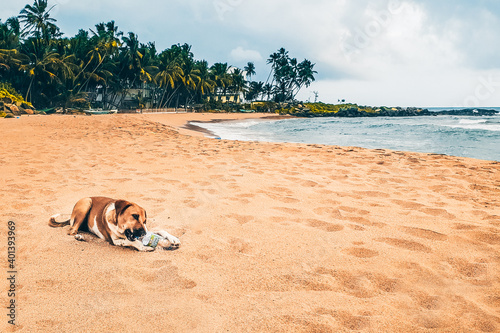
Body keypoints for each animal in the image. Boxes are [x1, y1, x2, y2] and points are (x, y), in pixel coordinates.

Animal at [48, 196, 181, 250]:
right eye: (134, 216)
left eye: (144, 221)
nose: (143, 234)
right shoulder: (115, 241)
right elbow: (130, 241)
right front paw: (143, 247)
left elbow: (161, 230)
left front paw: (173, 239)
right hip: (86, 203)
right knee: (71, 230)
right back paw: (79, 236)